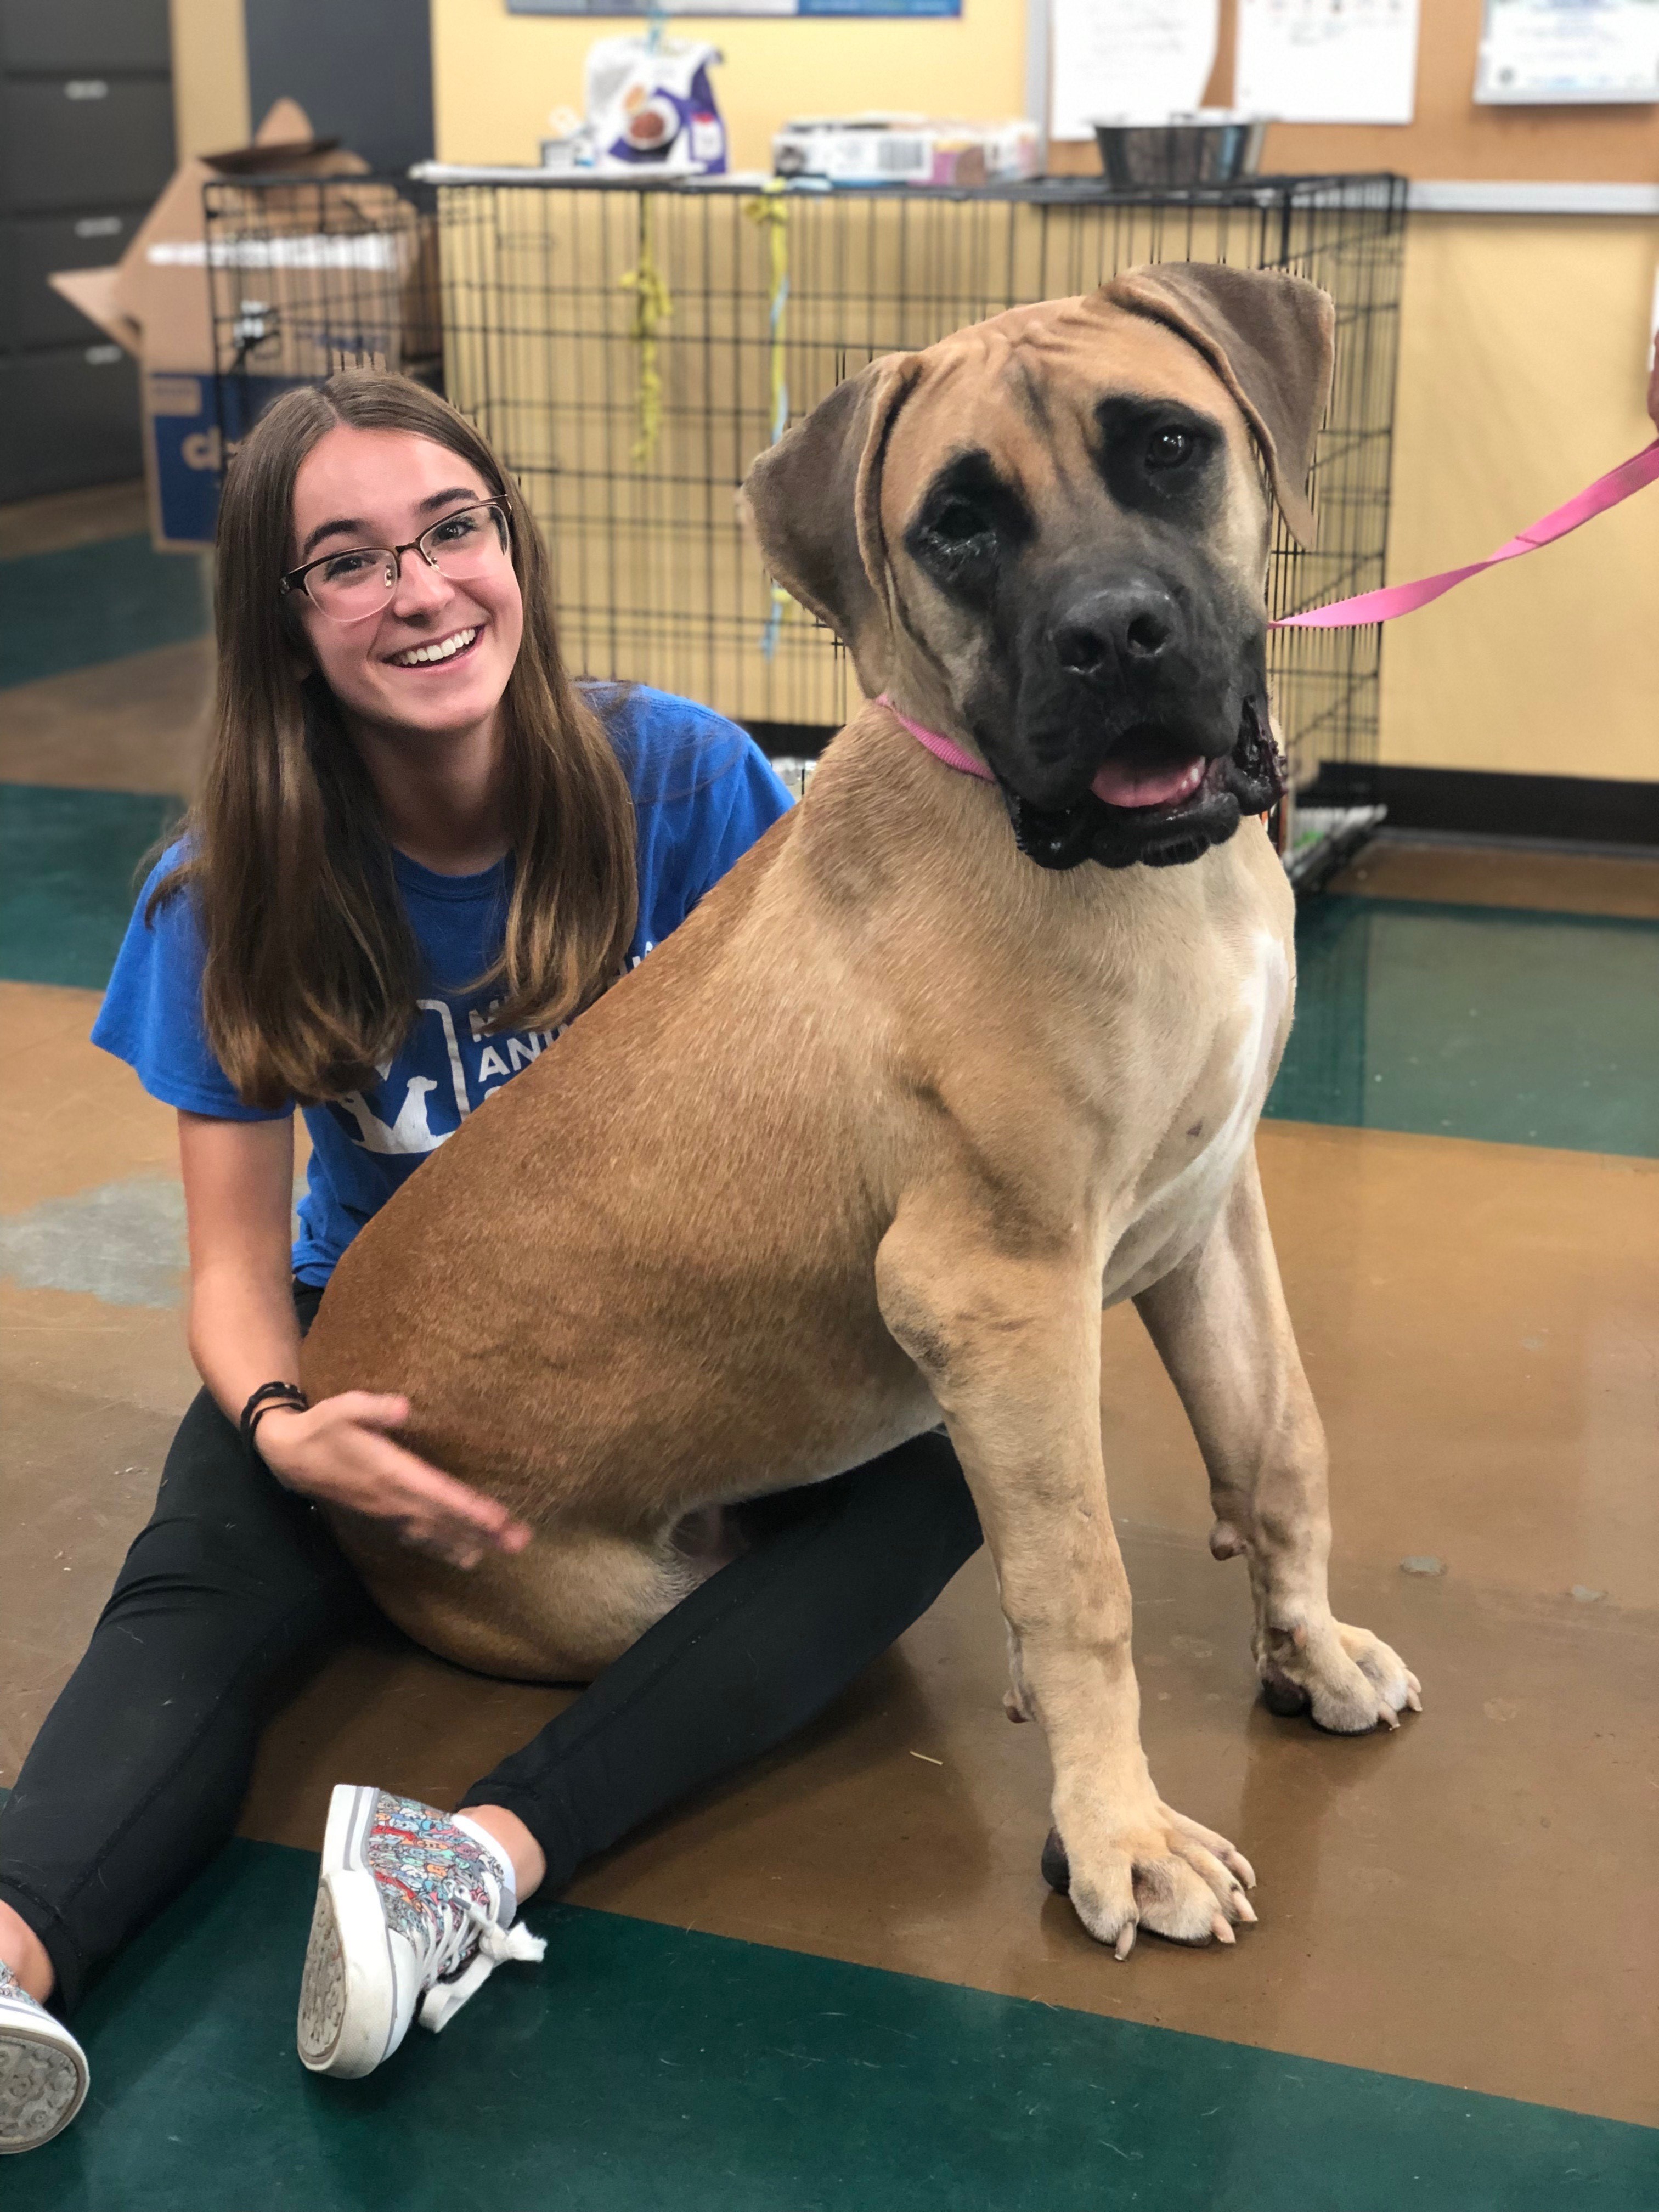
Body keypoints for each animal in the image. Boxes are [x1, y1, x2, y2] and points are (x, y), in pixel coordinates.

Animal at [298, 263, 1415, 1955]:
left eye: (1168, 444)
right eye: (957, 524)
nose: (1116, 634)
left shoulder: (1207, 1215)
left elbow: (1279, 1446)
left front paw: (1310, 1649)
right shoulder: (995, 1289)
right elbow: (1081, 1578)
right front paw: (1119, 1832)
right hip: (624, 1597)